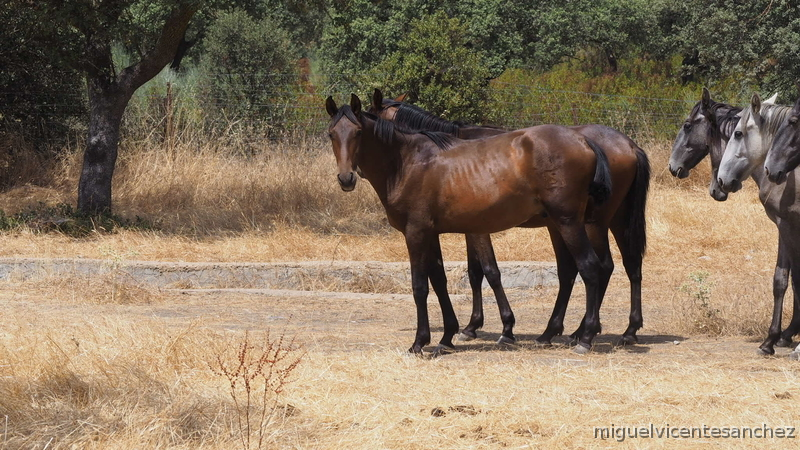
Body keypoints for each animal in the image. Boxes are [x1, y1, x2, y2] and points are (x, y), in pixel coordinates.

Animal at [326, 94, 612, 355]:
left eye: (358, 132)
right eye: (331, 134)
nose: (346, 177)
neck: (407, 162)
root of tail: (584, 141)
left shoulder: (416, 233)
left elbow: (421, 286)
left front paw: (419, 342)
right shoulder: (431, 233)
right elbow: (439, 280)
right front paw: (447, 336)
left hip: (570, 223)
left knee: (590, 268)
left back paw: (585, 337)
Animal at [714, 93, 800, 356]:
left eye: (738, 133)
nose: (721, 180)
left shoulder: (788, 226)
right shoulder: (785, 228)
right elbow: (782, 279)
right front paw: (775, 338)